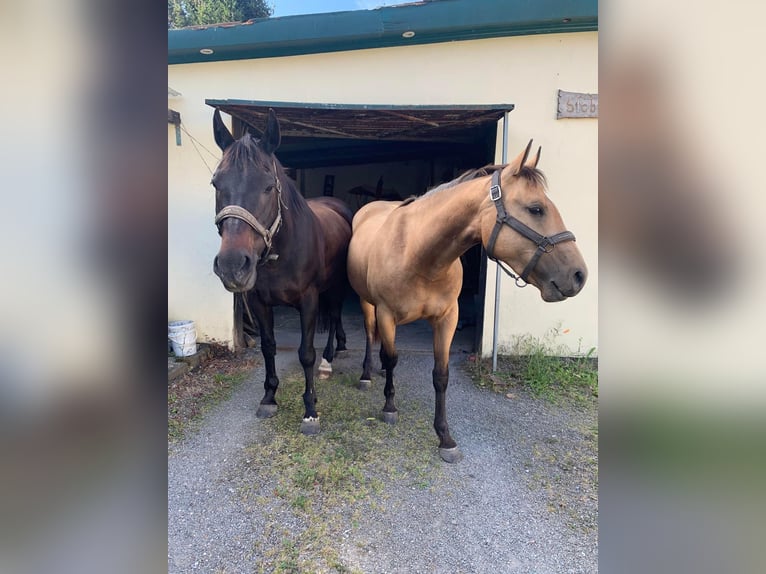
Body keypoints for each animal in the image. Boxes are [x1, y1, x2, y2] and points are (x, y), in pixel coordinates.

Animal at [212, 108, 352, 434]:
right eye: (216, 184)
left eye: (268, 186)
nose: (232, 266)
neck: (281, 253)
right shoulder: (259, 303)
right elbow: (268, 346)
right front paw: (269, 397)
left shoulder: (309, 300)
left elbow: (306, 353)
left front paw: (310, 410)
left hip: (336, 285)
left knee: (335, 315)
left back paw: (329, 358)